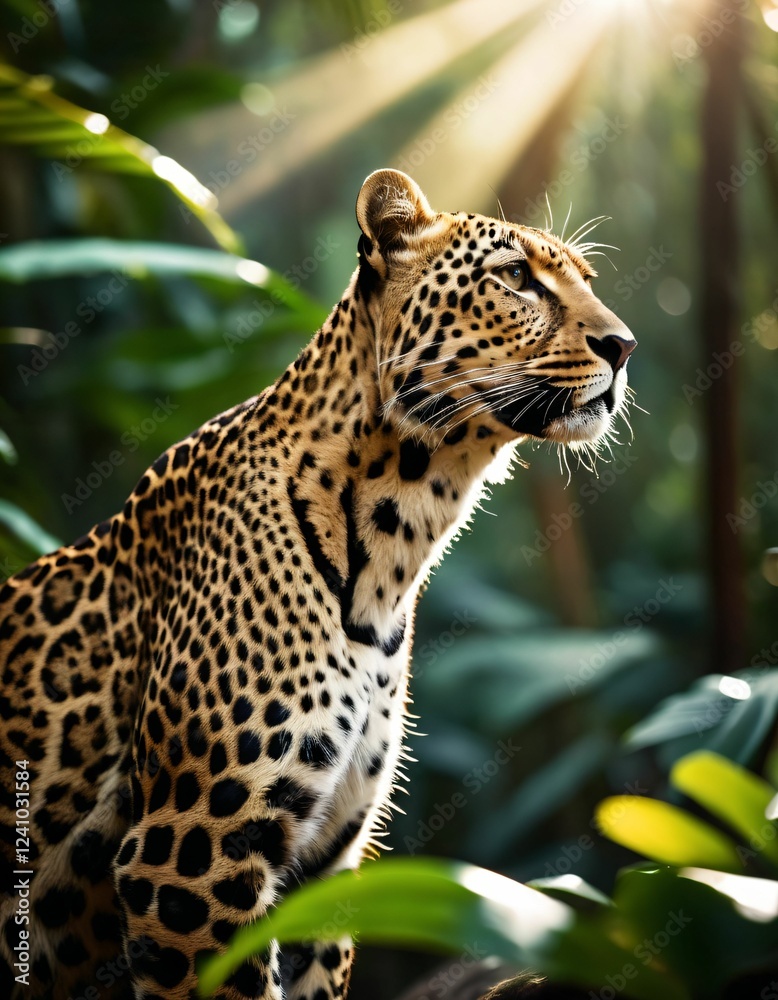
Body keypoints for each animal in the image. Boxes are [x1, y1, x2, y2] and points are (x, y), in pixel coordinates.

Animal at [0, 168, 636, 1000]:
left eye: (586, 281)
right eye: (515, 279)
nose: (624, 346)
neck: (395, 545)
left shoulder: (323, 860)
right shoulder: (189, 856)